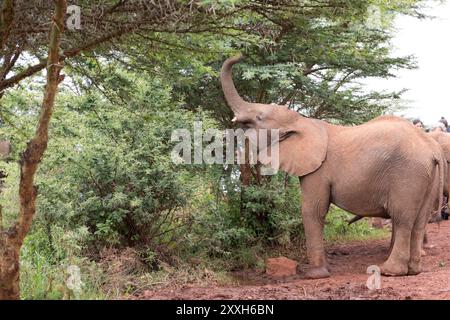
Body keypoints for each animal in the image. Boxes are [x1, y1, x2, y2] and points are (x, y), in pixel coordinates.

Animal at [220, 55, 444, 278]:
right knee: (419, 220)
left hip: (408, 173)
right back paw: (413, 270)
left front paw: (314, 274)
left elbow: (313, 211)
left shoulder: (318, 170)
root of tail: (431, 148)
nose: (240, 56)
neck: (302, 121)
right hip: (427, 175)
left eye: (260, 118)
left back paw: (388, 271)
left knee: (402, 218)